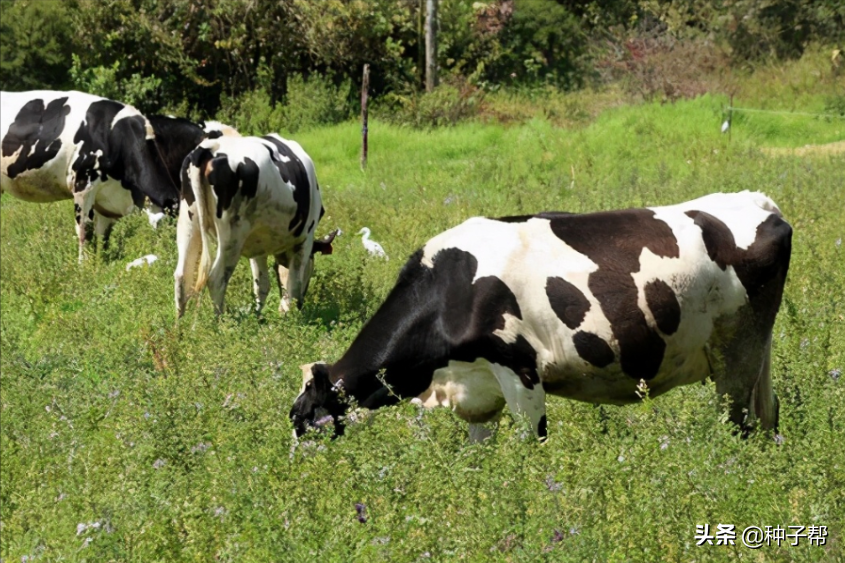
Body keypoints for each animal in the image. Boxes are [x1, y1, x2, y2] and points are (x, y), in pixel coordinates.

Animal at [175, 133, 336, 318]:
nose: (301, 304)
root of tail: (210, 147)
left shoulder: (258, 246)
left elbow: (262, 285)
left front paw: (259, 316)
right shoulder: (304, 240)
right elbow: (293, 284)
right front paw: (289, 316)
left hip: (189, 224)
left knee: (182, 277)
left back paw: (180, 324)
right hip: (232, 237)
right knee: (216, 279)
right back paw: (219, 322)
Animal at [290, 192, 792, 442]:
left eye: (306, 422)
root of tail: (757, 202)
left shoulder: (520, 371)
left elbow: (530, 445)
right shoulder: (478, 393)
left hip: (737, 350)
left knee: (739, 424)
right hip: (755, 354)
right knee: (768, 417)